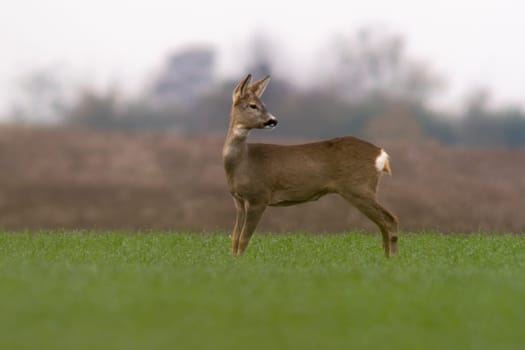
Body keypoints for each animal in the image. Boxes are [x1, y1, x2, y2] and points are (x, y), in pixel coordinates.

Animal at [221, 74, 398, 258]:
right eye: (253, 105)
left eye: (262, 104)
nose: (273, 121)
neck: (242, 161)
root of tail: (381, 154)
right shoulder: (238, 200)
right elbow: (234, 238)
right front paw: (233, 260)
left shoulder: (259, 196)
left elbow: (244, 239)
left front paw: (240, 261)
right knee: (383, 223)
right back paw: (386, 257)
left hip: (359, 187)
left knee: (390, 220)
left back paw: (393, 258)